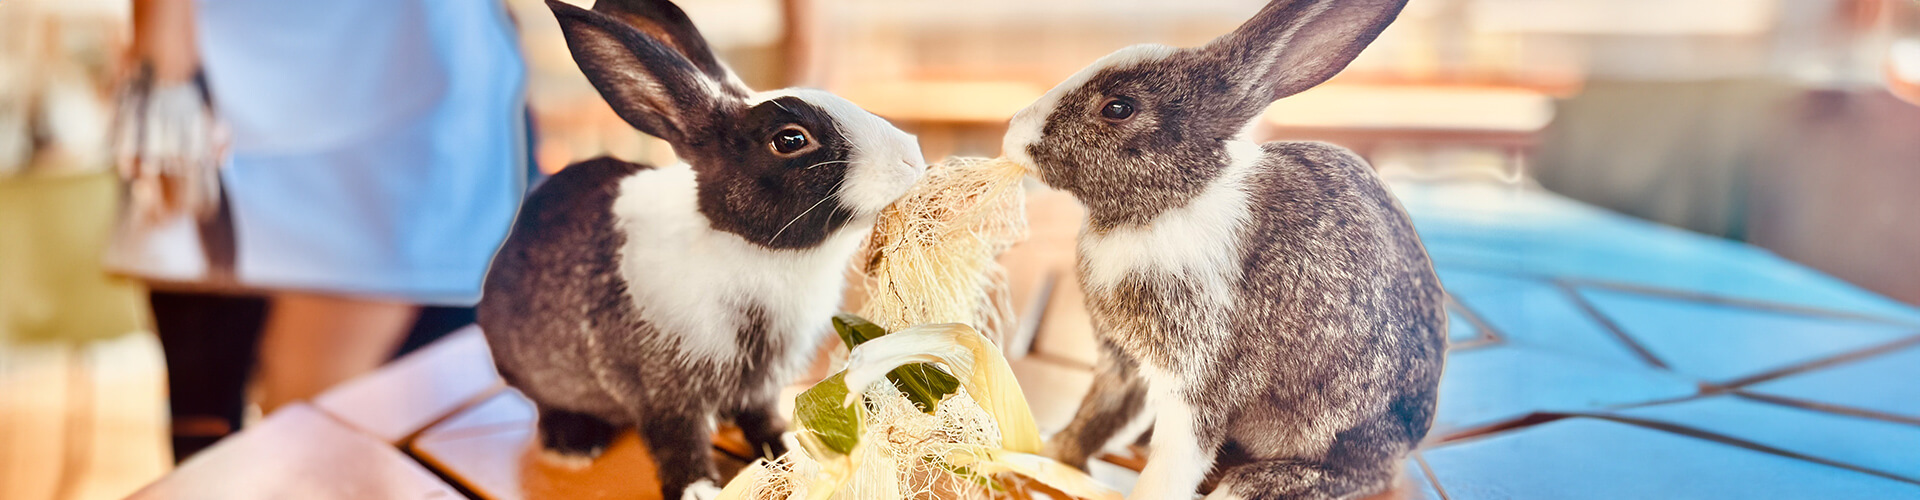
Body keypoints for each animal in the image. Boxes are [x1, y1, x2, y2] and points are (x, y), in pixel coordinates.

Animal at [480, 1, 929, 496]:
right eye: (790, 139)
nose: (912, 159)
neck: (751, 252)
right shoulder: (660, 390)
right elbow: (677, 439)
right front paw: (698, 488)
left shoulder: (761, 384)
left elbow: (762, 418)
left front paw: (787, 451)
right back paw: (573, 444)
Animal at [1006, 0, 1443, 500]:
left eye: (1118, 107)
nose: (1013, 133)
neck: (1171, 200)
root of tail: (1410, 439)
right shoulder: (1119, 363)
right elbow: (1097, 414)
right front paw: (1050, 453)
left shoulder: (1201, 376)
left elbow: (1178, 456)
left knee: (1361, 473)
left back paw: (1247, 484)